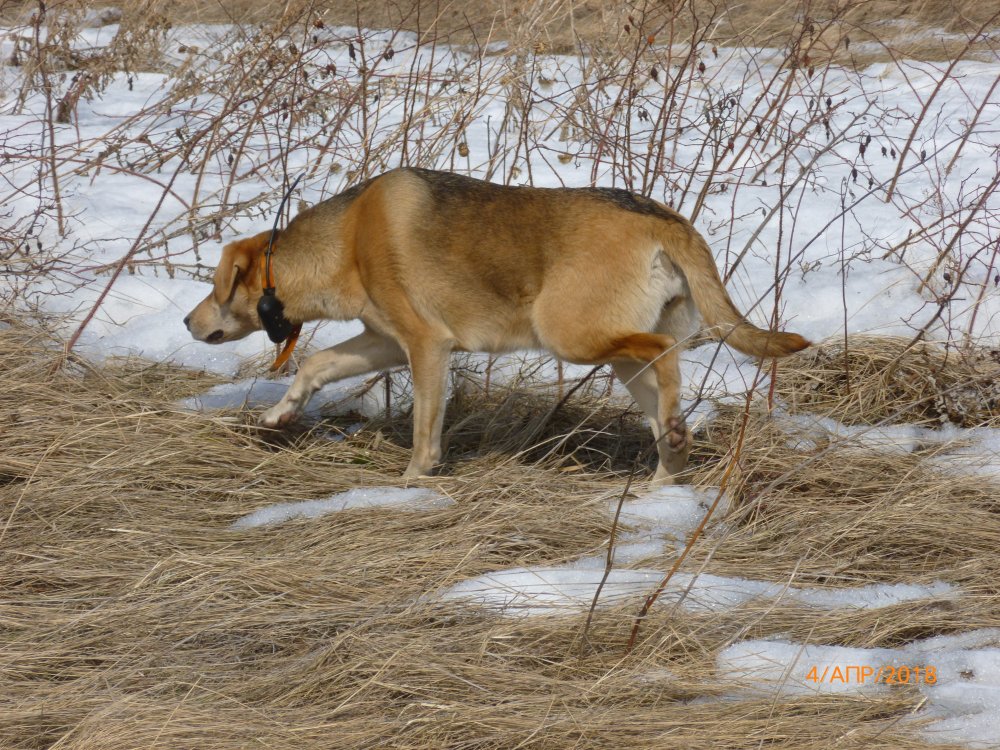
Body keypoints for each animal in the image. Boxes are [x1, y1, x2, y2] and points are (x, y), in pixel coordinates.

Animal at [185, 168, 809, 483]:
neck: (345, 241)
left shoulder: (427, 345)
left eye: (215, 288)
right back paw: (664, 476)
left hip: (571, 334)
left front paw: (414, 481)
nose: (188, 322)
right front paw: (278, 414)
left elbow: (425, 431)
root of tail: (667, 218)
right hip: (617, 358)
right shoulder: (385, 341)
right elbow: (314, 365)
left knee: (667, 356)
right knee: (662, 410)